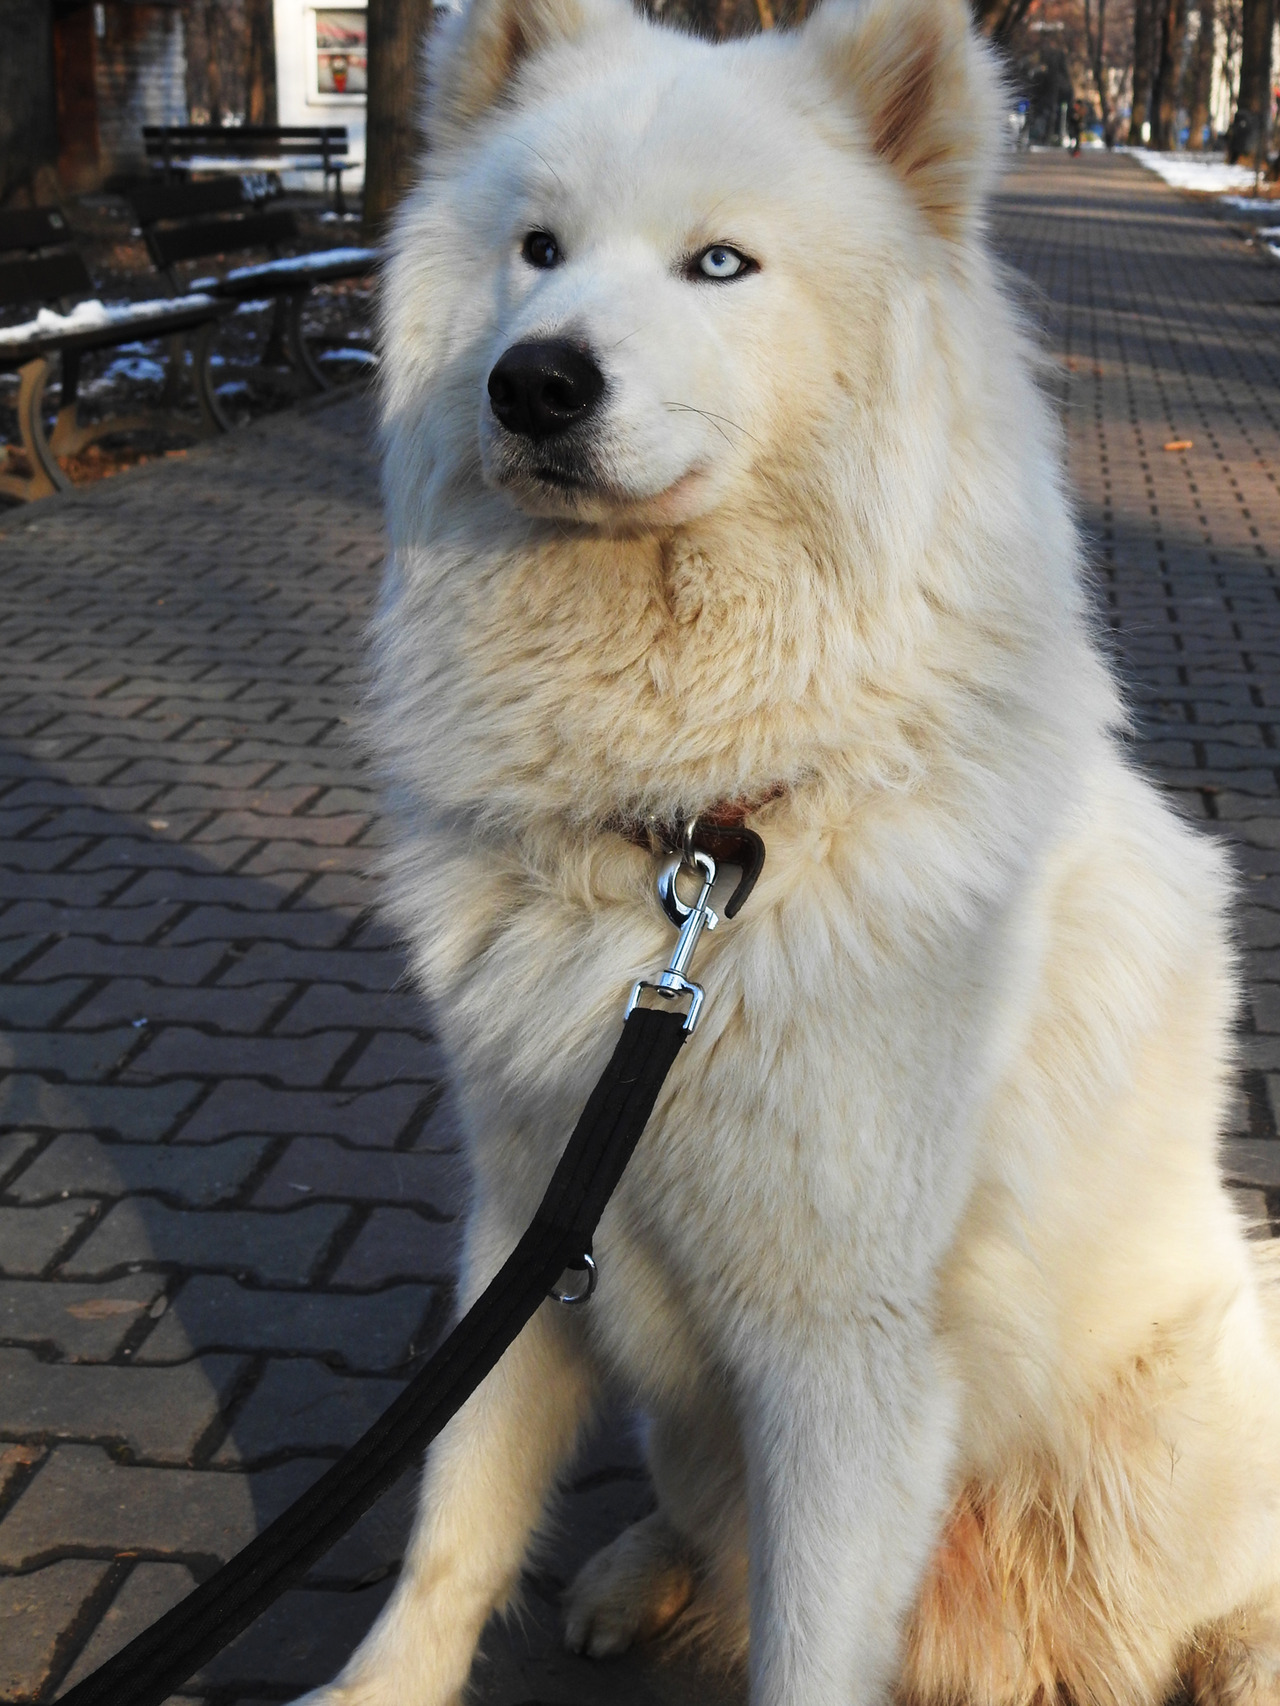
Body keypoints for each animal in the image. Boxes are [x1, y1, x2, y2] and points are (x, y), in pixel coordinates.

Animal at [300, 3, 1280, 1706]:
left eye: (720, 265)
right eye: (537, 248)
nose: (534, 382)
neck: (698, 842)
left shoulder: (840, 1343)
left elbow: (809, 1651)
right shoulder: (527, 1223)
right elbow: (452, 1526)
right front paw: (379, 1690)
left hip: (1173, 1423)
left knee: (1208, 1604)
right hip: (693, 1421)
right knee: (709, 1539)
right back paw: (637, 1577)